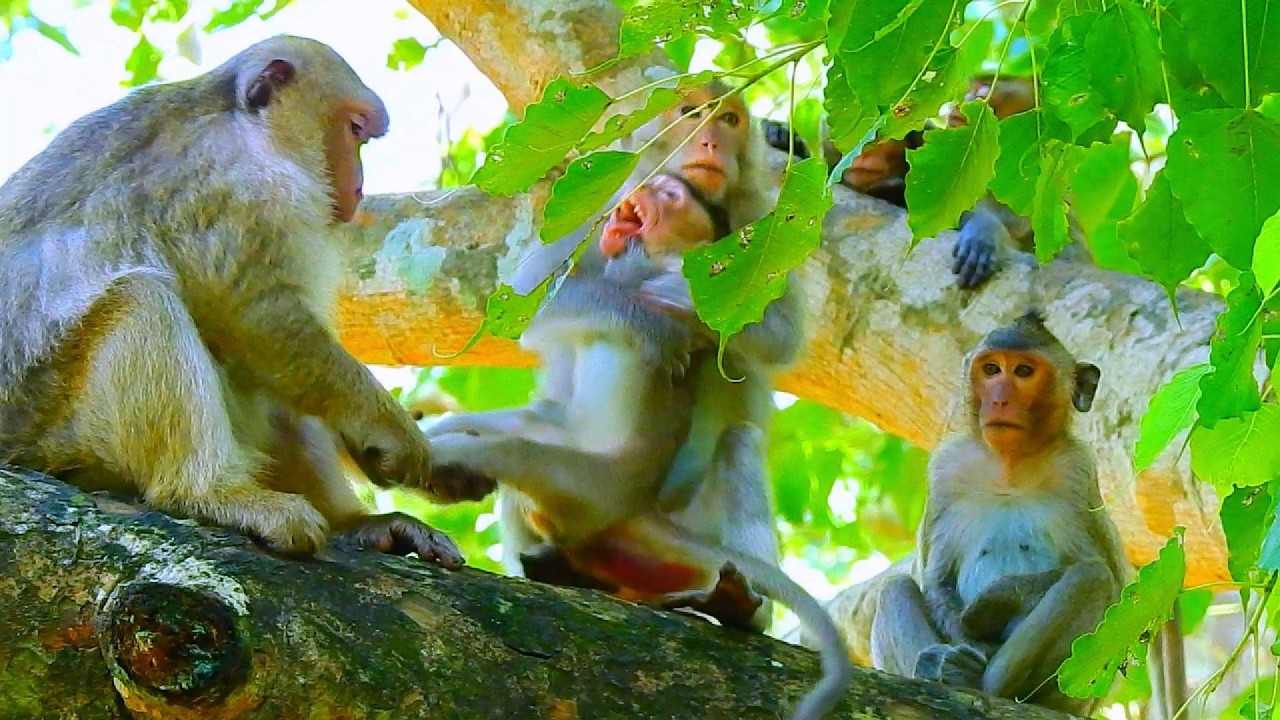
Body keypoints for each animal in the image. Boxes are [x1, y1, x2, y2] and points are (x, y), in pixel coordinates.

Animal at [0, 35, 491, 565]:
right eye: (355, 130)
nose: (359, 185)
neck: (242, 124)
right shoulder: (238, 188)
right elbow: (254, 316)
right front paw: (400, 440)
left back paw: (351, 521)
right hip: (58, 436)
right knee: (143, 299)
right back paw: (208, 493)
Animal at [427, 175, 850, 719]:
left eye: (671, 196)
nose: (651, 185)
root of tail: (639, 505)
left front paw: (663, 324)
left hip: (593, 486)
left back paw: (741, 609)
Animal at [864, 312, 1124, 713]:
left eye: (1023, 371)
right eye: (991, 369)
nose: (999, 399)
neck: (1010, 468)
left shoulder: (1078, 473)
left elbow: (1121, 588)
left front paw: (994, 601)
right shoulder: (946, 470)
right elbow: (937, 580)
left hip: (1075, 693)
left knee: (1092, 578)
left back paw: (989, 682)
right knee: (895, 588)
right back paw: (937, 666)